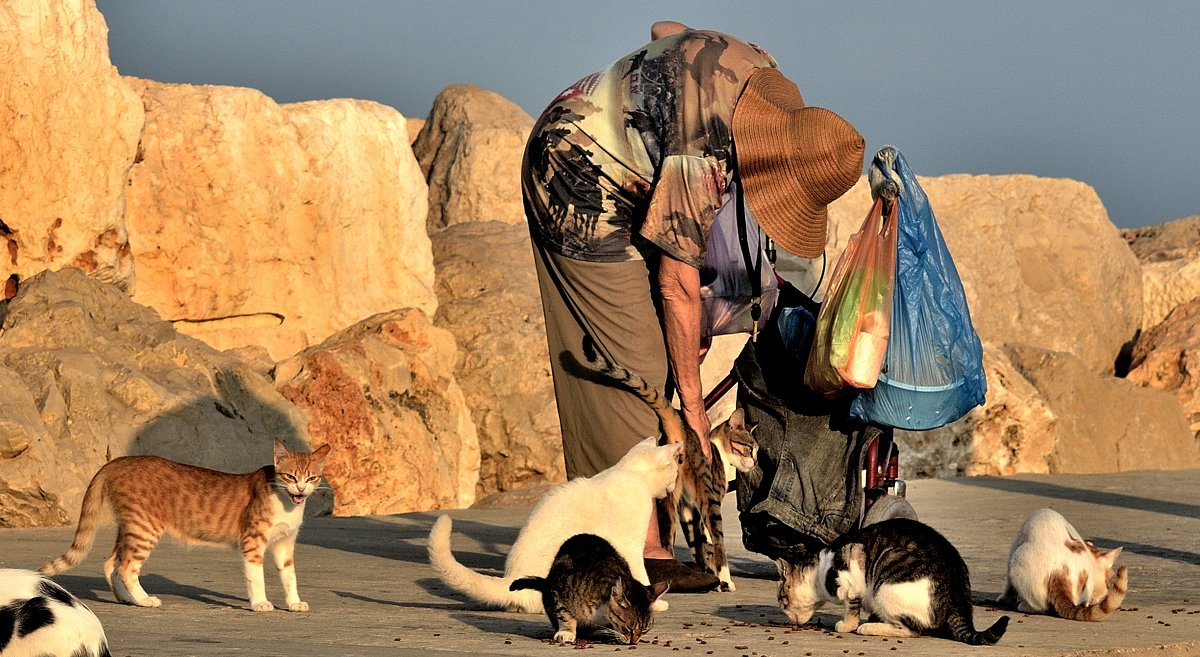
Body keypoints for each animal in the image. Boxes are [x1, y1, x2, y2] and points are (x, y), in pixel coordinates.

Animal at [39, 438, 331, 613]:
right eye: (290, 476)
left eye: (312, 478)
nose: (301, 489)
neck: (287, 503)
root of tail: (118, 461)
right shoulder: (253, 542)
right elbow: (256, 577)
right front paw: (260, 603)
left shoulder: (284, 544)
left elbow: (289, 577)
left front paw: (294, 603)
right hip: (145, 528)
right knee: (127, 568)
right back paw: (144, 599)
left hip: (129, 527)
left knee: (111, 564)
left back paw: (128, 599)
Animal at [432, 436, 681, 613]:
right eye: (676, 471)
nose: (673, 486)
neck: (630, 472)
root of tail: (511, 577)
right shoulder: (629, 546)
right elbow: (640, 574)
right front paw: (654, 602)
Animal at [511, 532, 672, 642]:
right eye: (629, 628)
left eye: (645, 630)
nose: (634, 642)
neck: (601, 612)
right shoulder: (559, 590)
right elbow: (565, 614)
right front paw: (567, 632)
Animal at [583, 338, 758, 589]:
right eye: (749, 448)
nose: (755, 462)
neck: (718, 448)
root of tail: (681, 433)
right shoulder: (707, 500)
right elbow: (711, 544)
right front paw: (719, 579)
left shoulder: (688, 509)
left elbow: (699, 547)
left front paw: (708, 574)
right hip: (706, 498)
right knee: (717, 540)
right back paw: (725, 579)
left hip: (668, 500)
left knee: (667, 540)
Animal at [998, 508, 1128, 623]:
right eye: (1108, 582)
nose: (1106, 590)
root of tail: (1059, 570)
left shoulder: (1013, 550)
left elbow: (1008, 587)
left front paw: (1004, 599)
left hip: (1018, 561)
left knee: (1041, 607)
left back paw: (1023, 605)